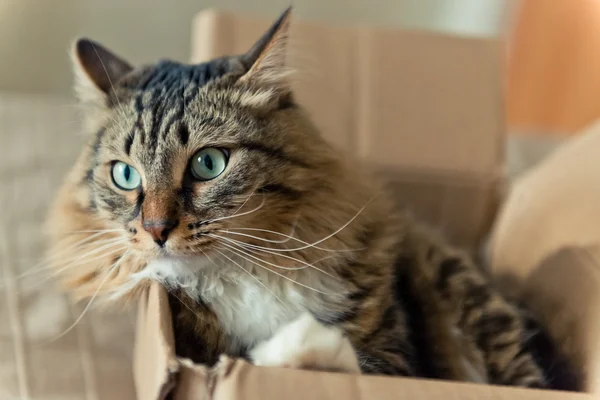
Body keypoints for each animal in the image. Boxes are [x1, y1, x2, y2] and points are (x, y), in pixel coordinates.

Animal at [47, 7, 580, 392]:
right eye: (125, 174)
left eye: (208, 164)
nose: (156, 230)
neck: (243, 271)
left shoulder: (396, 358)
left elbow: (340, 360)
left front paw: (294, 348)